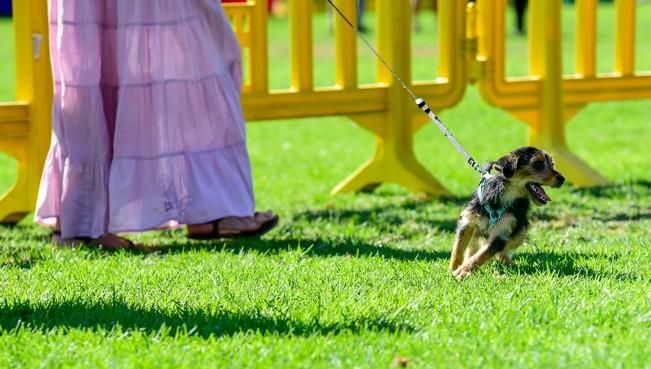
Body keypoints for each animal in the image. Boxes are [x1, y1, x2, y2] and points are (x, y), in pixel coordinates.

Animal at [448, 147, 564, 278]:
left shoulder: (501, 233)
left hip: (521, 231)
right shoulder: (467, 222)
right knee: (473, 246)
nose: (562, 179)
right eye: (537, 164)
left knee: (502, 250)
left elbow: (482, 255)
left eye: (552, 164)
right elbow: (457, 249)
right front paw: (452, 269)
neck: (502, 198)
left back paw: (509, 264)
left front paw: (462, 271)